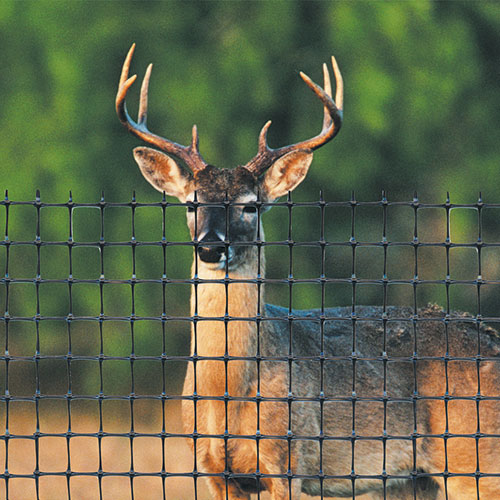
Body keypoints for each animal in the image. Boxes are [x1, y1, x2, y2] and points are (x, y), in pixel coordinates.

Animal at [115, 44, 498, 500]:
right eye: (191, 203)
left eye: (250, 205)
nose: (210, 247)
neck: (226, 394)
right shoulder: (211, 470)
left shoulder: (289, 460)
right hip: (413, 479)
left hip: (473, 459)